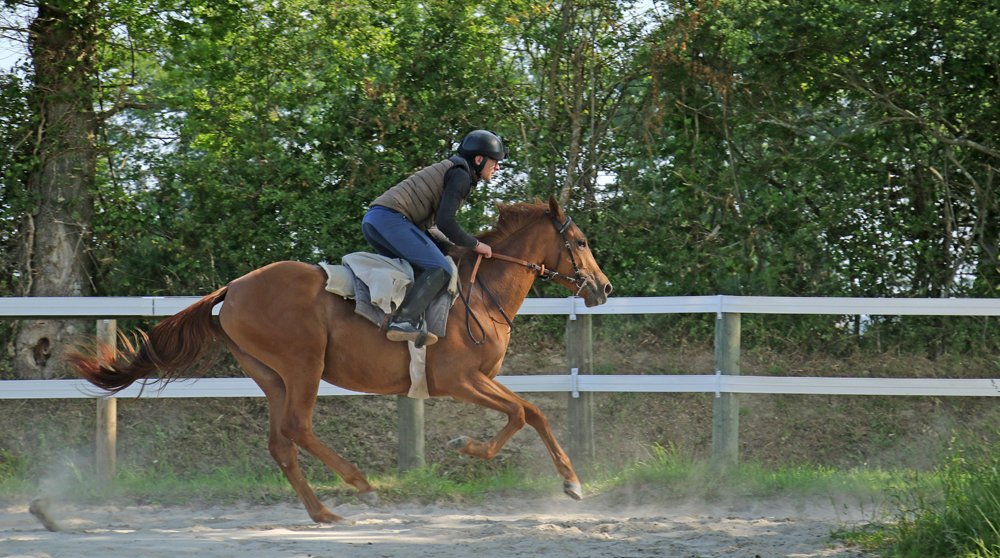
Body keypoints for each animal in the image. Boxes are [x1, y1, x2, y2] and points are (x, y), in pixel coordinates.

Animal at [69, 195, 613, 523]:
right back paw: (361, 486)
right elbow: (521, 412)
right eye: (581, 242)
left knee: (281, 442)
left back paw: (322, 514)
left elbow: (534, 412)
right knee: (298, 429)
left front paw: (572, 482)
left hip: (272, 376)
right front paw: (467, 446)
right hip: (303, 366)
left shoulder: (478, 379)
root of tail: (234, 288)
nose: (603, 288)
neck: (481, 294)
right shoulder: (460, 379)